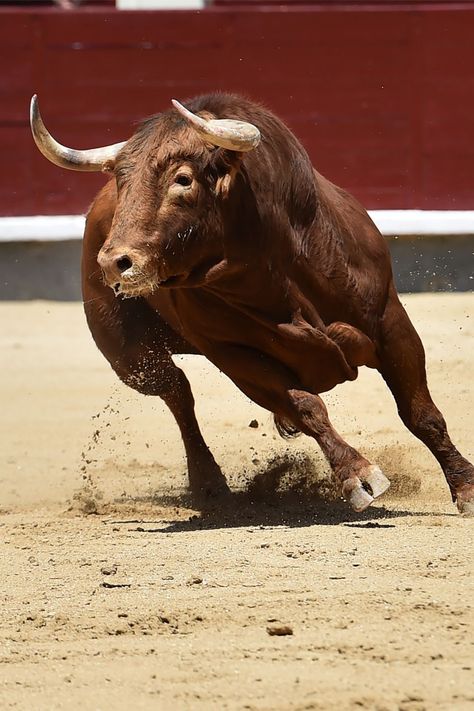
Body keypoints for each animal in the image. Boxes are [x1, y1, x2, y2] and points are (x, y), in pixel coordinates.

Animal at [30, 93, 474, 516]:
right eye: (122, 181)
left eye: (183, 179)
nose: (113, 262)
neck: (273, 268)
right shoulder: (235, 357)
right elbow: (306, 405)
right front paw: (358, 476)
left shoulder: (391, 322)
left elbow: (421, 413)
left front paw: (465, 488)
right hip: (133, 361)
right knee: (177, 393)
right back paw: (210, 485)